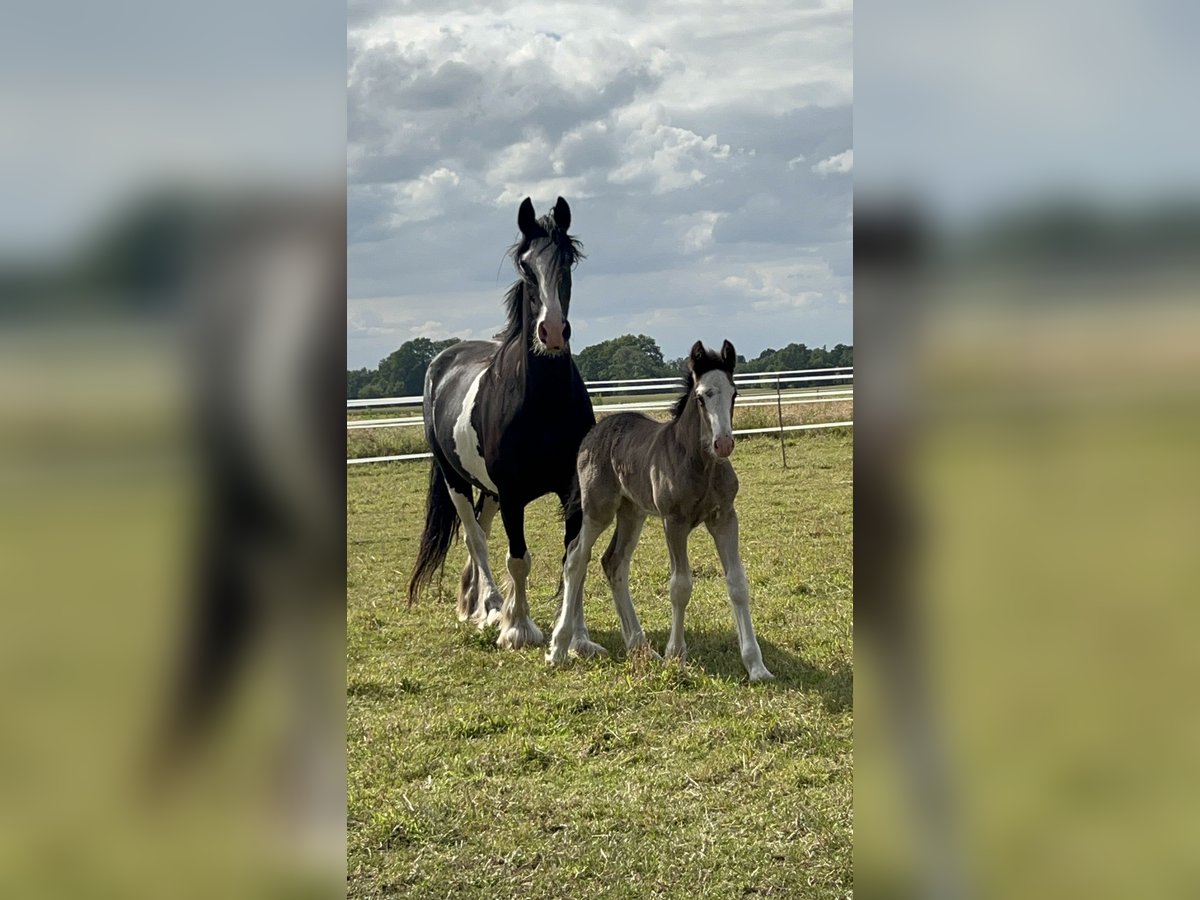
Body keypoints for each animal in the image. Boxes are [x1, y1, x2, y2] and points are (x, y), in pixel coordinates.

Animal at [408, 196, 600, 652]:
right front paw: (518, 629)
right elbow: (519, 559)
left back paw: (474, 600)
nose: (552, 332)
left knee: (479, 527)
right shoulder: (513, 494)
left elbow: (575, 558)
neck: (542, 404)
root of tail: (442, 362)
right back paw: (492, 606)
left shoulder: (574, 491)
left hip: (490, 490)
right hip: (456, 481)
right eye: (526, 267)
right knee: (475, 537)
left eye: (567, 261)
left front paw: (577, 636)